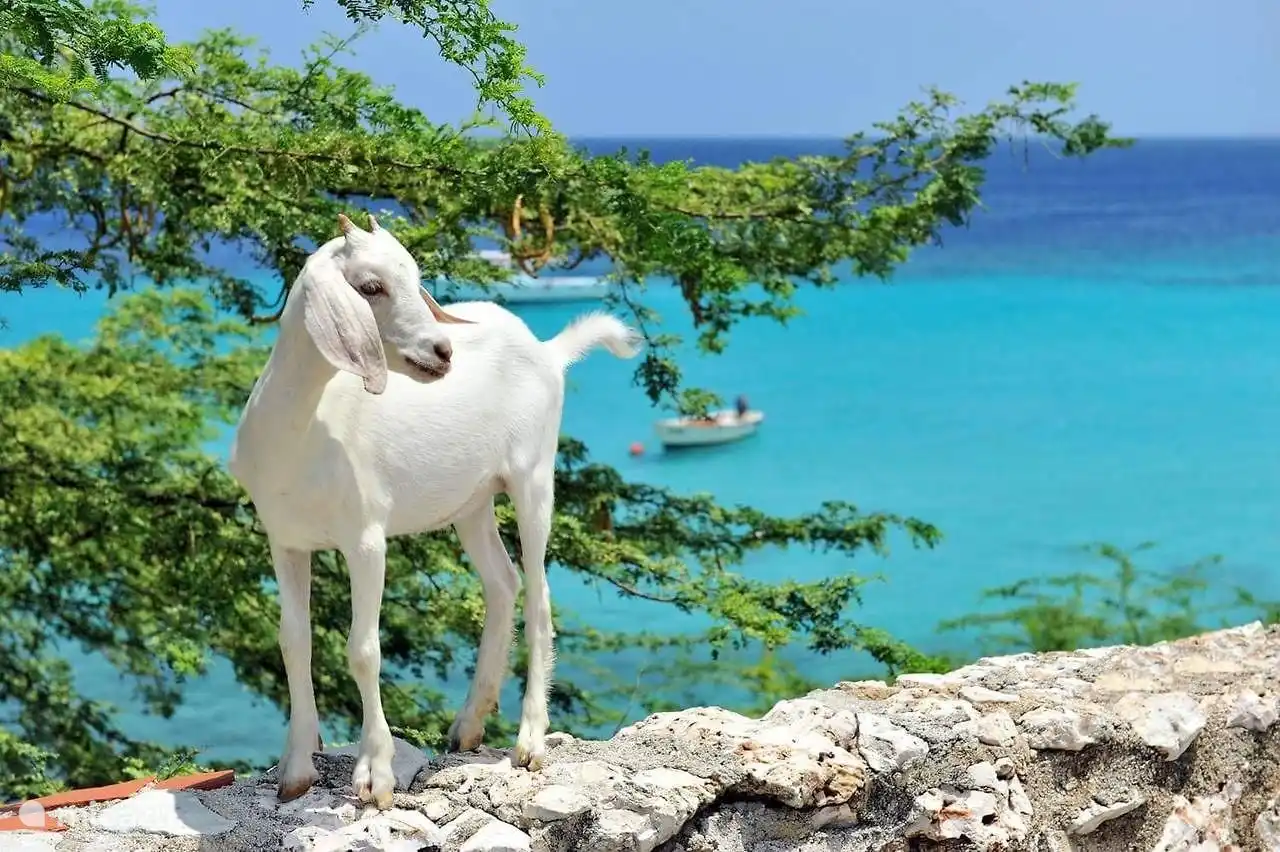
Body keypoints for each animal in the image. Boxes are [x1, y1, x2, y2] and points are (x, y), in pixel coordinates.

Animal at [228, 213, 641, 808]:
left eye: (416, 278)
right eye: (370, 286)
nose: (443, 350)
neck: (304, 431)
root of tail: (547, 351)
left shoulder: (365, 538)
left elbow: (363, 649)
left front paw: (374, 774)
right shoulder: (285, 541)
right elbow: (293, 642)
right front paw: (296, 769)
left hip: (533, 476)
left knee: (538, 595)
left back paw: (530, 741)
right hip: (472, 502)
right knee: (503, 582)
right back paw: (469, 724)